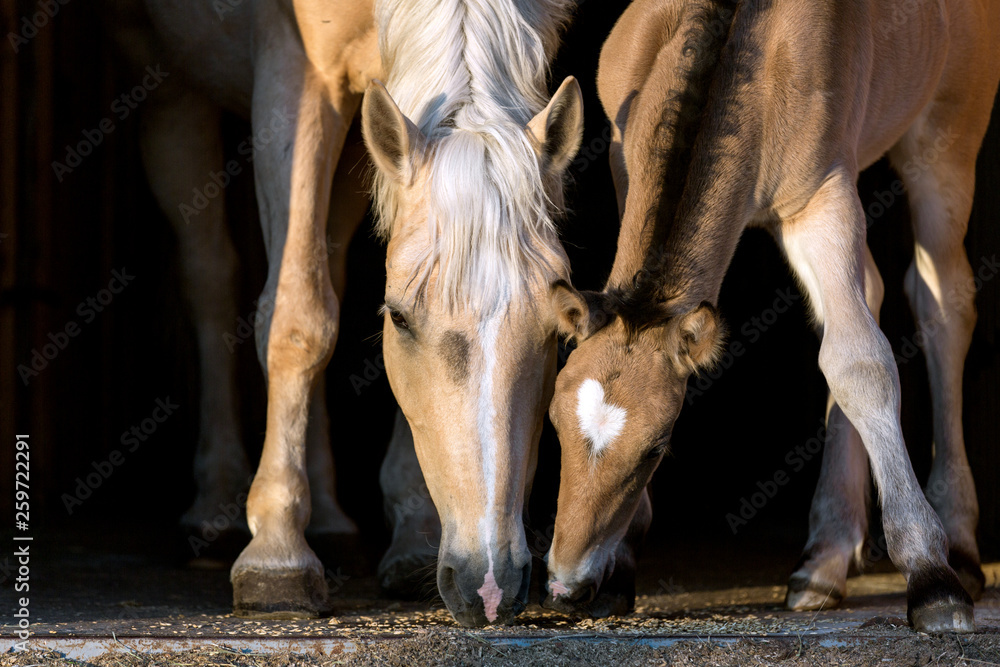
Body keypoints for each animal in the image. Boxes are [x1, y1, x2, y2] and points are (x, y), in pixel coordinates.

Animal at [109, 0, 586, 626]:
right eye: (399, 319)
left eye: (556, 331)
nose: (490, 586)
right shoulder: (297, 71)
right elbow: (298, 320)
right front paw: (276, 557)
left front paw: (413, 535)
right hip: (168, 83)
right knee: (210, 277)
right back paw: (217, 504)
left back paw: (330, 521)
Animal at [540, 0, 999, 634]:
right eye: (555, 424)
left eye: (657, 448)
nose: (566, 584)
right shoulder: (620, 160)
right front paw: (620, 570)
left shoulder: (822, 195)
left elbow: (860, 364)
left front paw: (932, 580)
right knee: (870, 293)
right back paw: (824, 560)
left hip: (948, 133)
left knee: (941, 304)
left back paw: (959, 546)